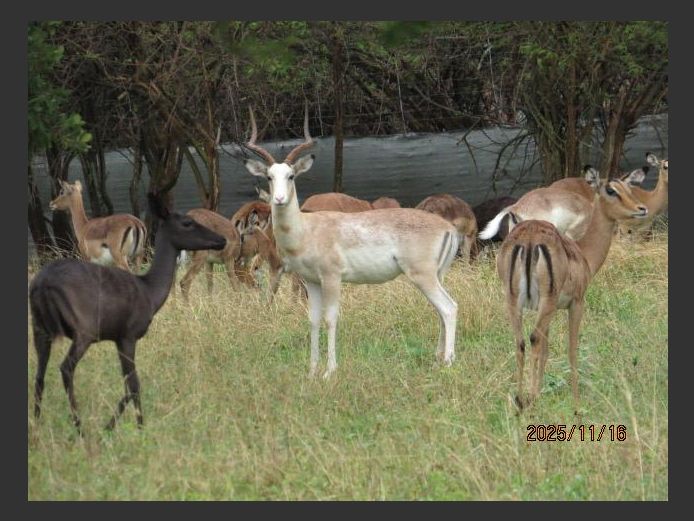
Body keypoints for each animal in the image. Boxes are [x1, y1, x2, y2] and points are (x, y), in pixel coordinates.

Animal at [30, 194, 226, 433]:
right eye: (188, 222)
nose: (221, 240)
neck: (150, 292)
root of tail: (42, 285)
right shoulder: (128, 335)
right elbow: (134, 384)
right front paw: (135, 427)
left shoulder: (116, 337)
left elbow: (128, 384)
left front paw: (114, 425)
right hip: (84, 330)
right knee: (65, 368)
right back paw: (80, 427)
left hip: (40, 328)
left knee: (39, 376)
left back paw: (37, 425)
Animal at [243, 105, 460, 378]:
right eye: (270, 177)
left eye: (291, 176)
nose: (279, 199)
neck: (307, 231)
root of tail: (448, 227)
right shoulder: (312, 281)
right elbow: (313, 320)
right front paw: (312, 372)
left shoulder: (332, 278)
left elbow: (331, 319)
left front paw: (329, 372)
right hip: (436, 276)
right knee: (440, 310)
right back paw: (437, 359)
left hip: (423, 276)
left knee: (449, 307)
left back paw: (448, 362)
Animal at [496, 179, 648, 410]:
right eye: (611, 190)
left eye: (628, 187)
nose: (641, 209)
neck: (583, 254)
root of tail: (529, 239)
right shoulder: (576, 303)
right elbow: (572, 350)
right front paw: (576, 404)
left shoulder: (546, 311)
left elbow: (546, 351)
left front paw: (538, 393)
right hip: (547, 302)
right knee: (533, 338)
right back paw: (528, 401)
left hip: (515, 302)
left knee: (521, 342)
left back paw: (521, 400)